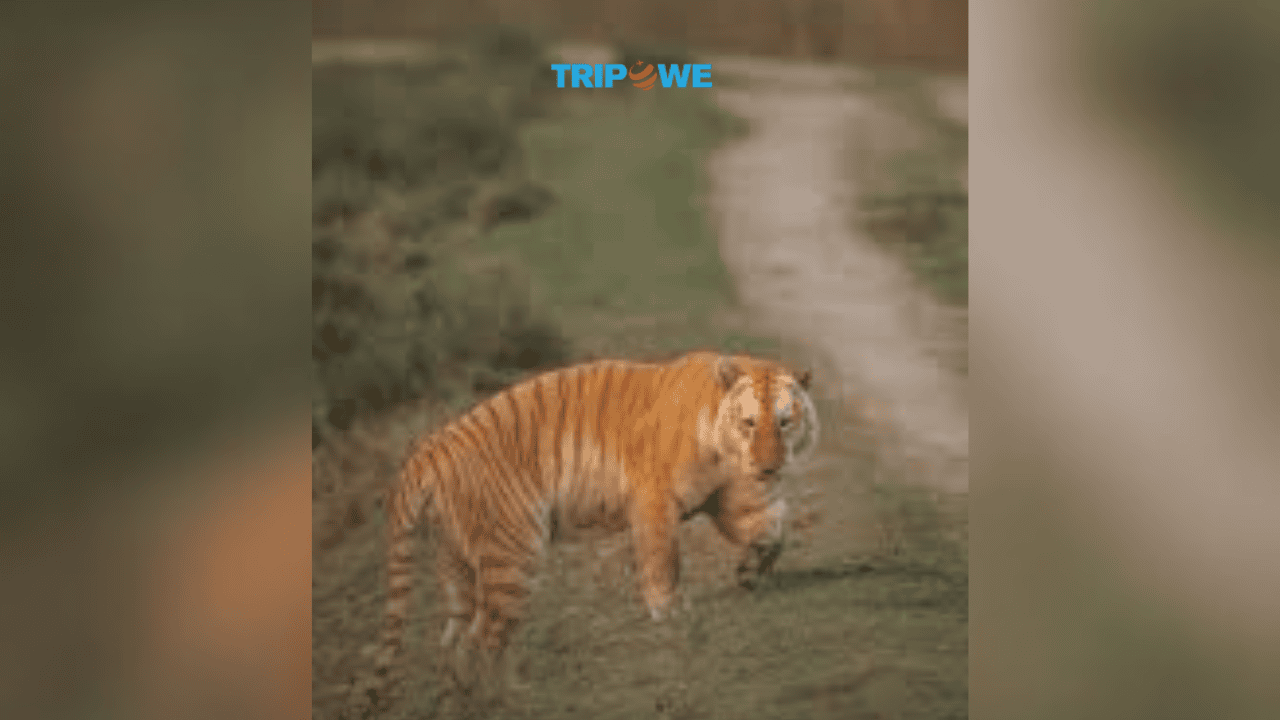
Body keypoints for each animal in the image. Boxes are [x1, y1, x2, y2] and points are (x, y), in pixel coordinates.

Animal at [369, 350, 819, 707]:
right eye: (749, 423)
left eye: (784, 422)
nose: (769, 468)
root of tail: (430, 448)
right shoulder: (655, 499)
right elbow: (663, 557)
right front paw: (671, 610)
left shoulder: (725, 499)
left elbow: (773, 525)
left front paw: (750, 572)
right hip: (513, 558)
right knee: (482, 640)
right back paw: (507, 699)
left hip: (457, 567)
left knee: (453, 641)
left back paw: (462, 700)